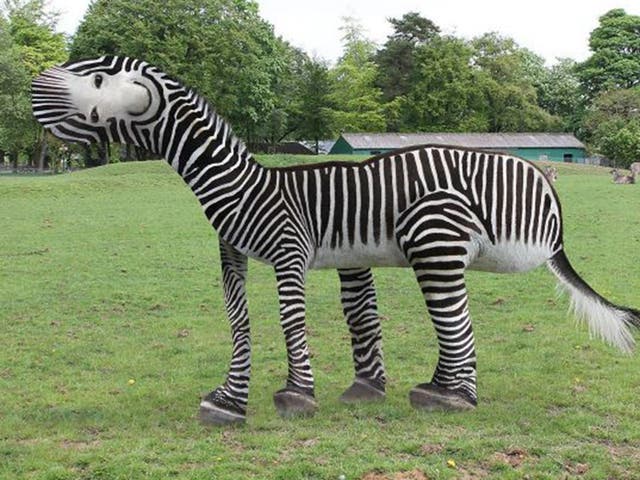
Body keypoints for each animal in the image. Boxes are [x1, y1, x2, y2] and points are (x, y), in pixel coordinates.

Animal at [32, 56, 640, 425]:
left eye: (97, 78)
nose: (35, 86)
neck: (241, 184)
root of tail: (547, 192)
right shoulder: (234, 255)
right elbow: (248, 321)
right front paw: (229, 401)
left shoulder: (288, 249)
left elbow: (290, 320)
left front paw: (297, 396)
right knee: (450, 324)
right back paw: (434, 388)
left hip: (434, 239)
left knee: (456, 323)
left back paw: (448, 399)